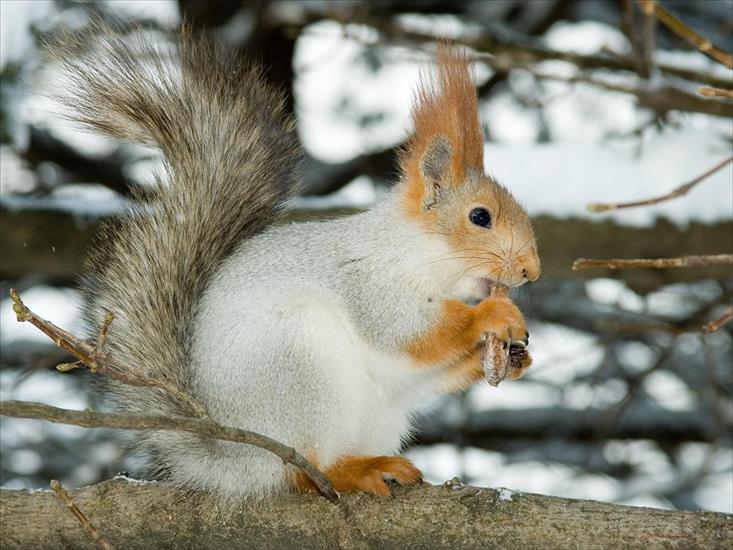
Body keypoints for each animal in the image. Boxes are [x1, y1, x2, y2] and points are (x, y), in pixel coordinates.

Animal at [53, 25, 536, 500]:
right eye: (480, 217)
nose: (531, 270)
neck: (419, 251)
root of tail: (232, 460)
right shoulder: (370, 281)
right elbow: (410, 330)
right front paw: (494, 314)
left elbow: (424, 374)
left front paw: (511, 358)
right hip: (300, 365)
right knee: (302, 471)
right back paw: (353, 471)